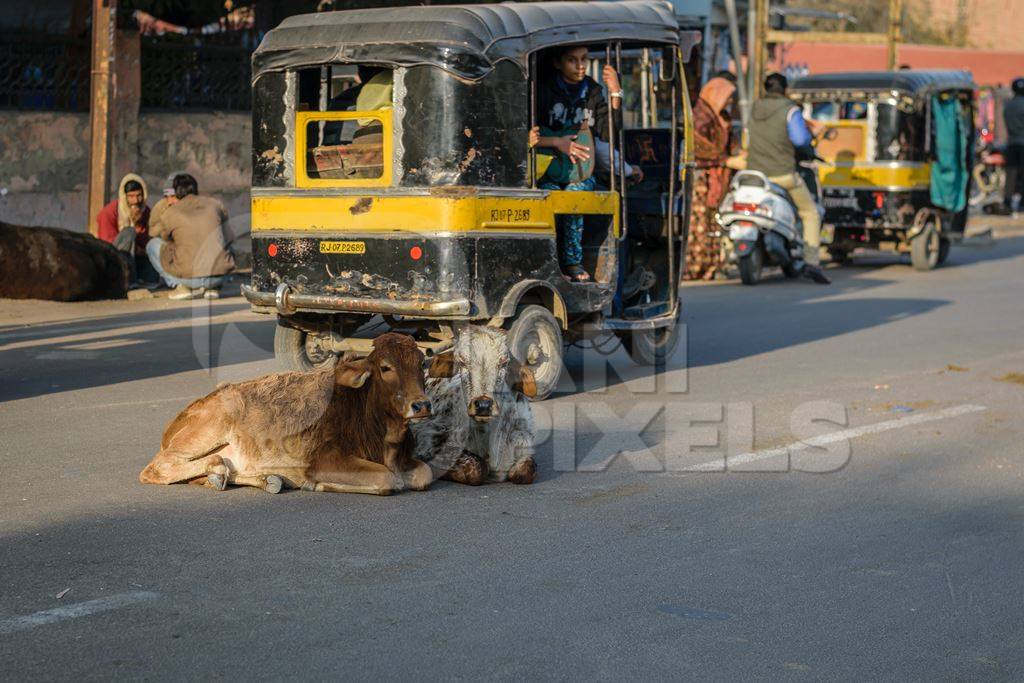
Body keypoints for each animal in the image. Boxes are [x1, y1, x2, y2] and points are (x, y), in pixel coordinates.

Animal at [139, 333, 432, 493]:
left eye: (422, 363)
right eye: (385, 367)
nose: (421, 405)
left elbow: (424, 473)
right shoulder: (324, 460)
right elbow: (389, 479)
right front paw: (314, 484)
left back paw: (266, 479)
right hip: (208, 429)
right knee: (157, 467)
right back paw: (217, 469)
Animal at [411, 325, 540, 485]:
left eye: (504, 362)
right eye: (462, 361)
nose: (483, 404)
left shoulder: (524, 441)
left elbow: (526, 471)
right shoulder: (426, 439)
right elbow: (477, 467)